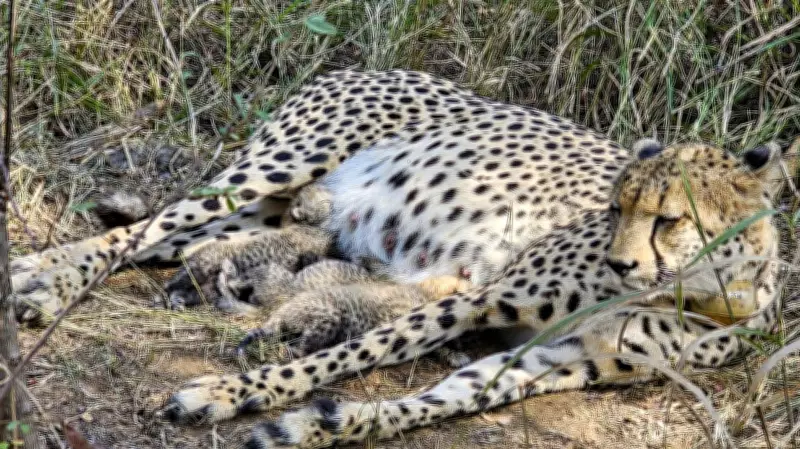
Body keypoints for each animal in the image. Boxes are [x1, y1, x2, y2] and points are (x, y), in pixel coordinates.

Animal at [7, 69, 796, 448]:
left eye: (669, 219)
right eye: (614, 208)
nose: (622, 263)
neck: (702, 291)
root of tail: (361, 66)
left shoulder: (555, 360)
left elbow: (434, 399)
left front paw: (318, 426)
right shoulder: (480, 297)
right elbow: (356, 351)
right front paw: (232, 392)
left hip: (271, 208)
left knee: (180, 242)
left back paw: (45, 272)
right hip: (275, 167)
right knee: (144, 229)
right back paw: (41, 280)